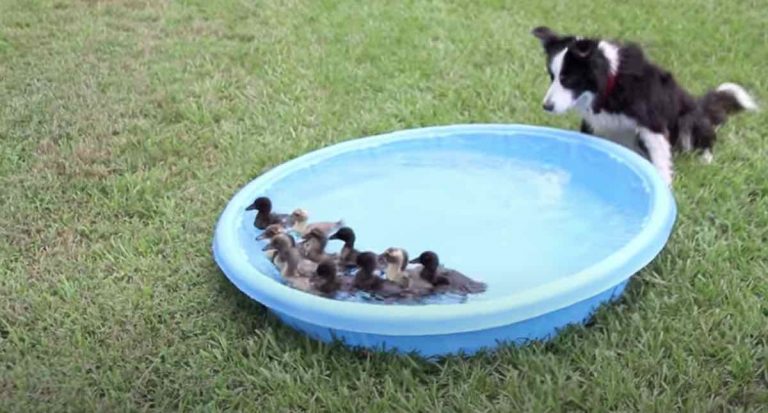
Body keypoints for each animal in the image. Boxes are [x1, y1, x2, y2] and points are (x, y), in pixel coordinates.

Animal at [532, 26, 760, 184]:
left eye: (568, 79)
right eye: (552, 77)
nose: (546, 106)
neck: (610, 83)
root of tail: (699, 105)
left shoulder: (653, 123)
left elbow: (660, 159)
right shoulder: (593, 123)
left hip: (688, 120)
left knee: (705, 137)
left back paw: (705, 158)